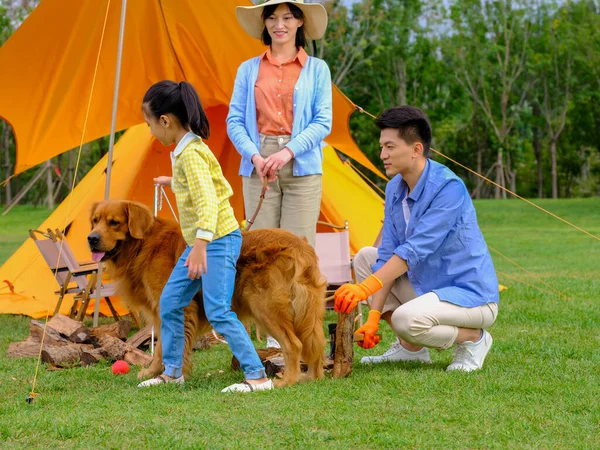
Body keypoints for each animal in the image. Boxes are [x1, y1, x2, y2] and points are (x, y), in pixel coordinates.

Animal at [85, 200, 324, 386]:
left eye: (114, 222)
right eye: (95, 221)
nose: (91, 238)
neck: (142, 245)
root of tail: (302, 247)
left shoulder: (172, 305)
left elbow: (165, 345)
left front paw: (165, 375)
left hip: (265, 307)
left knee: (294, 345)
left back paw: (287, 381)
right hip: (305, 314)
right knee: (314, 343)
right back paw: (310, 377)